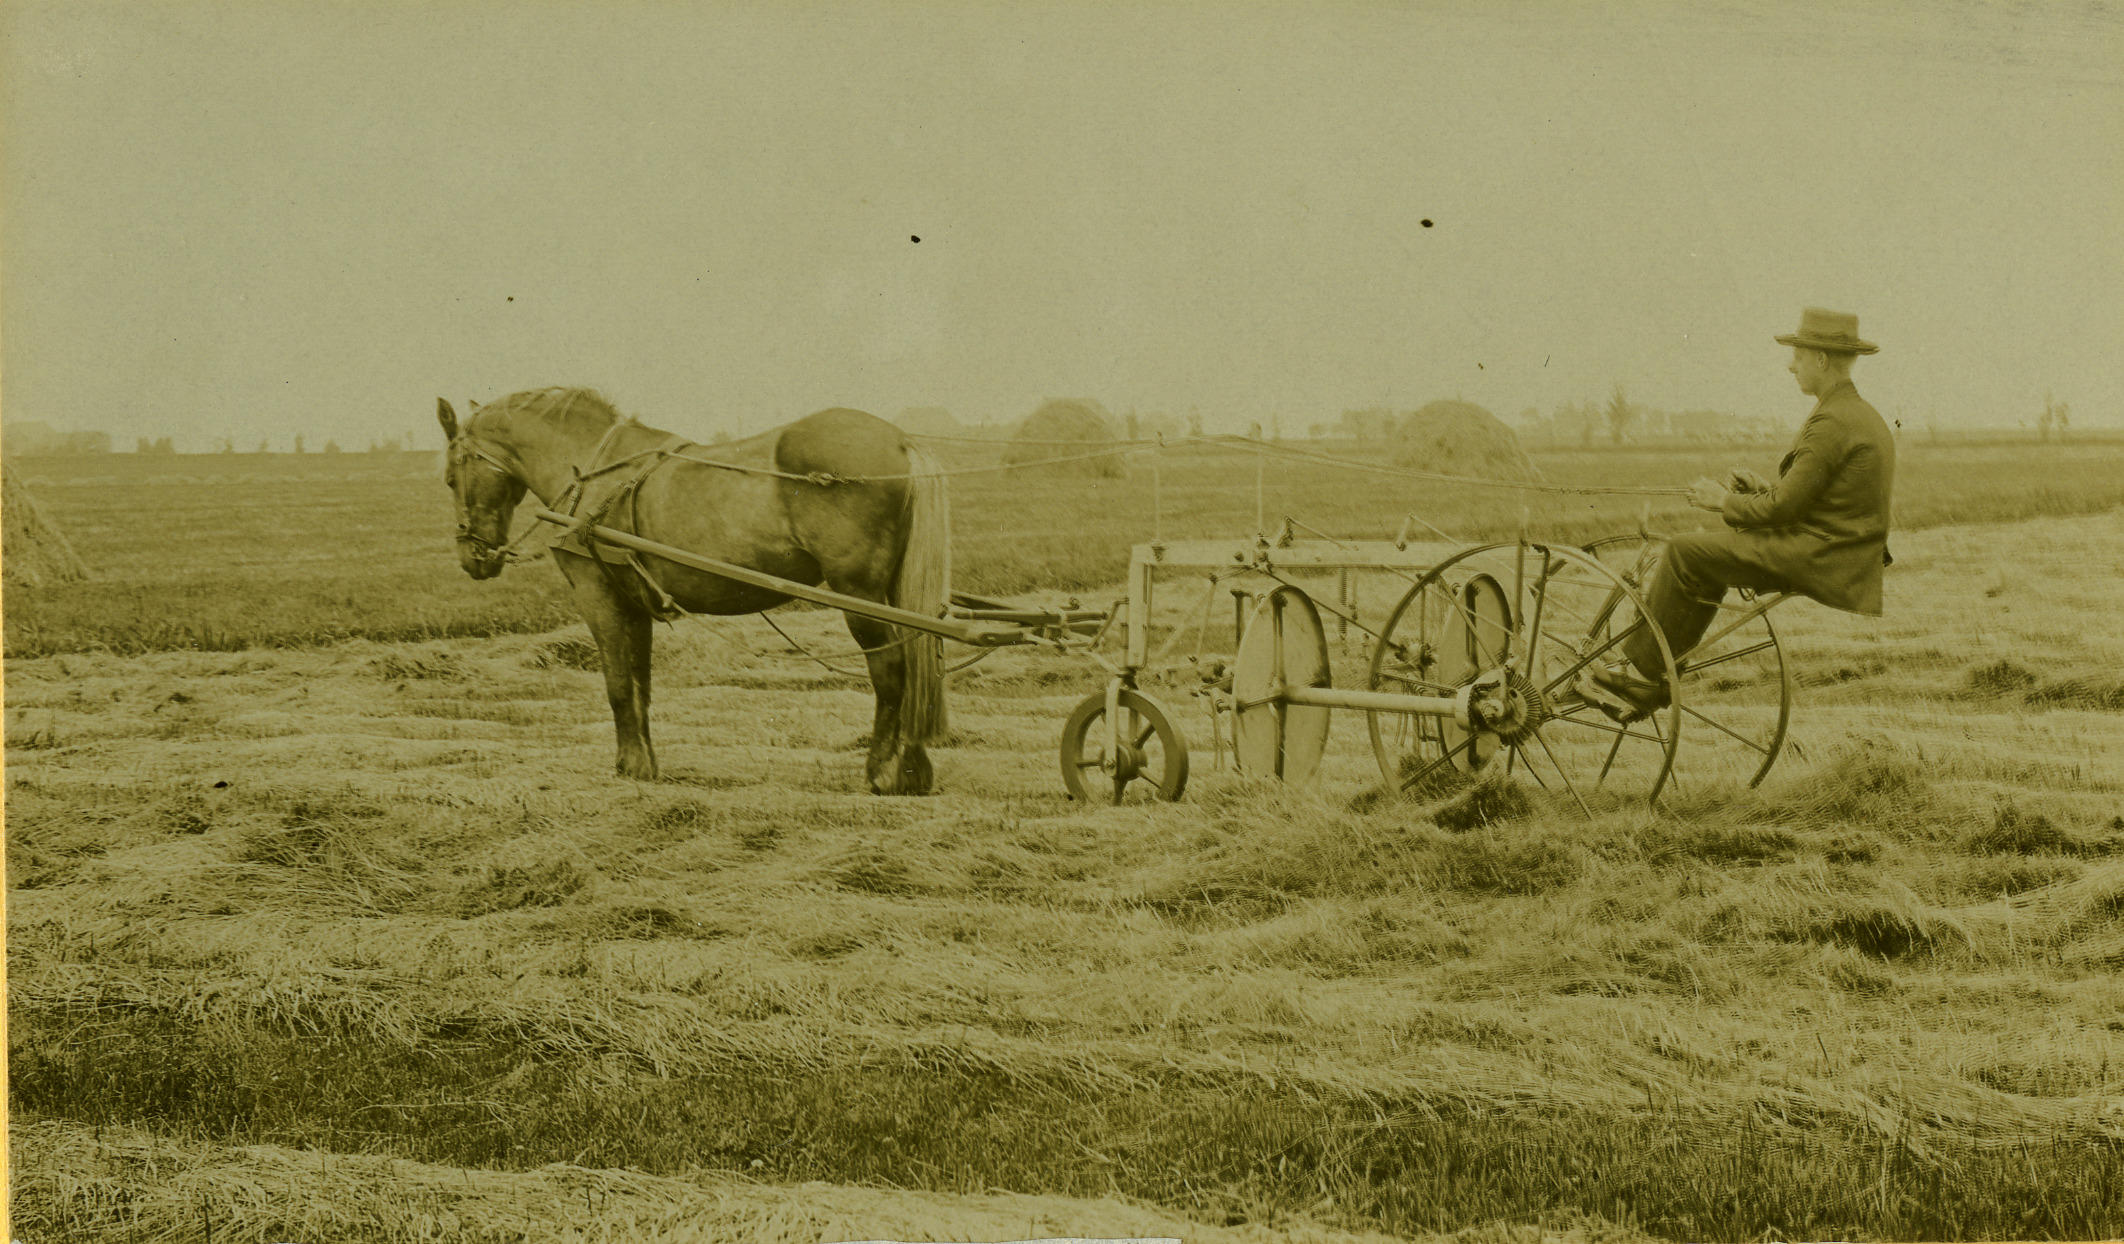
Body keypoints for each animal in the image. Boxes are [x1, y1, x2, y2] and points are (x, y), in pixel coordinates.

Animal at [437, 387, 949, 794]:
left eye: (450, 477)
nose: (473, 557)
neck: (593, 475)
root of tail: (899, 439)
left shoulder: (597, 596)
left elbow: (617, 684)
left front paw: (630, 765)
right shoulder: (635, 604)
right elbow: (640, 684)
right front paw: (644, 762)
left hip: (859, 594)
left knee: (891, 670)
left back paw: (884, 771)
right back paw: (914, 768)